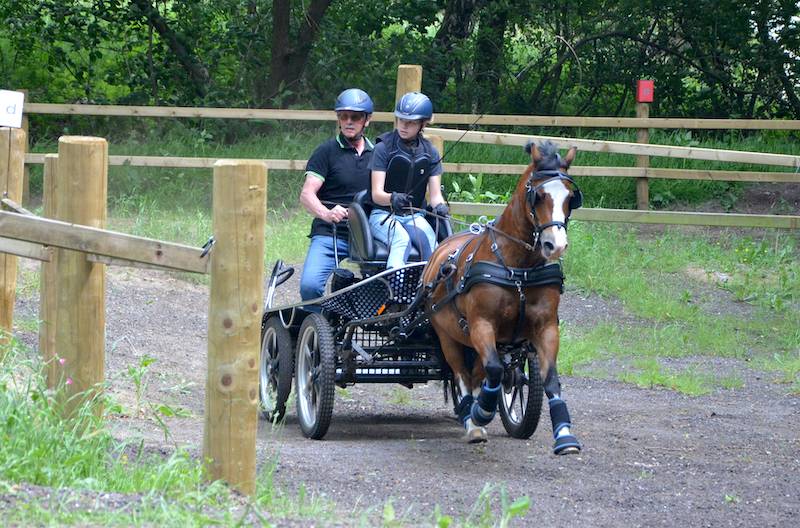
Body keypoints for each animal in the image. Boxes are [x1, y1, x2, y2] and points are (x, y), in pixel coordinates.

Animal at [422, 140, 584, 454]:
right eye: (539, 195)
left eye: (571, 197)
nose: (555, 245)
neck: (517, 268)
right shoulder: (482, 325)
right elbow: (495, 370)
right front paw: (481, 412)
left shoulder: (545, 327)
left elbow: (550, 379)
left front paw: (564, 434)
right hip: (449, 336)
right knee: (462, 375)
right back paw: (472, 420)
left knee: (477, 375)